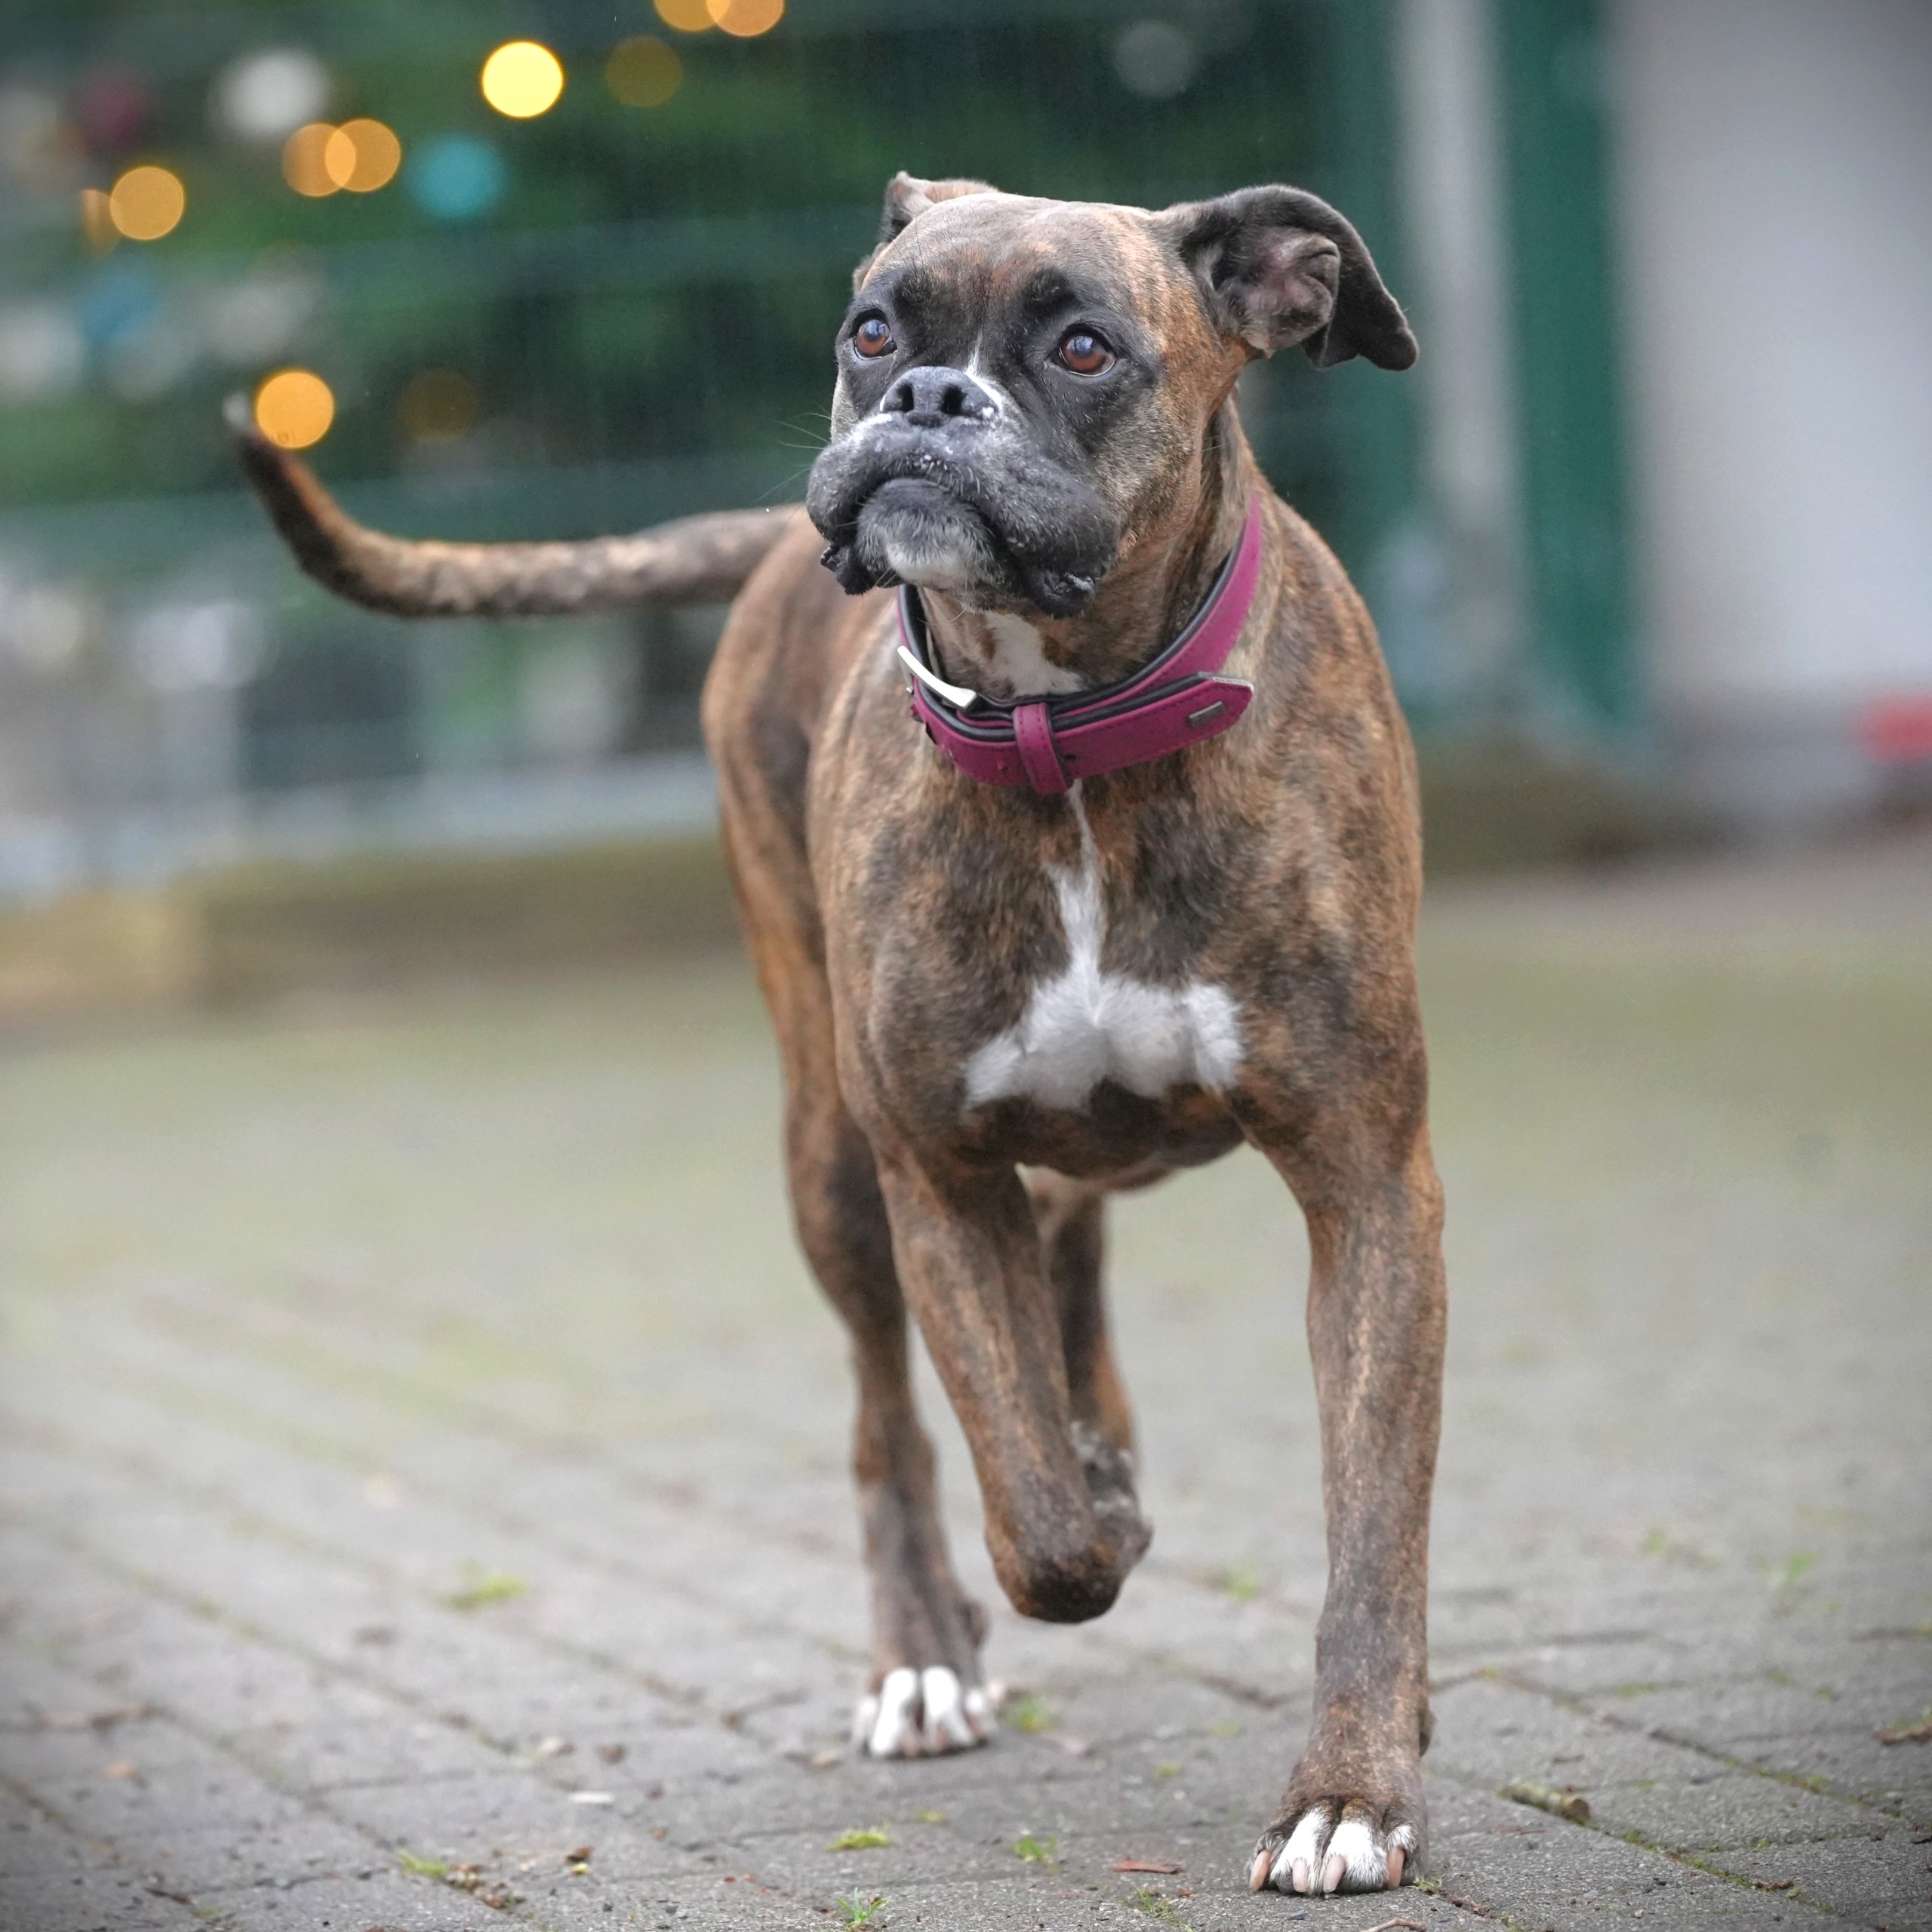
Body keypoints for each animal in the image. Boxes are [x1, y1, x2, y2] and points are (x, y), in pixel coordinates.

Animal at [235, 172, 1444, 1900]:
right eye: (874, 327)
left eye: (1084, 346)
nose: (923, 400)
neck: (1067, 739)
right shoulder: (935, 1179)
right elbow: (1035, 1516)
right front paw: (1079, 1525)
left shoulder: (1366, 1188)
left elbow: (1368, 1524)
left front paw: (1352, 1787)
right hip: (831, 1168)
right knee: (895, 1427)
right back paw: (925, 1652)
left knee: (1066, 1283)